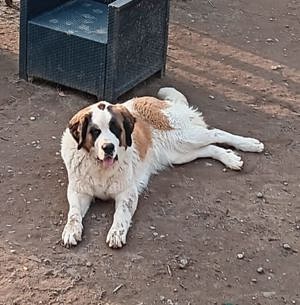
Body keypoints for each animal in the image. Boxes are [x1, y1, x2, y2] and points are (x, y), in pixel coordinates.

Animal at [61, 87, 264, 247]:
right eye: (95, 132)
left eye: (115, 129)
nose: (108, 147)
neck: (100, 167)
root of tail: (149, 99)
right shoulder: (78, 191)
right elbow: (74, 212)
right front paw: (71, 230)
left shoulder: (127, 193)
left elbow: (121, 213)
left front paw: (116, 232)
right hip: (179, 153)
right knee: (209, 148)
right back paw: (230, 158)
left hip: (186, 136)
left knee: (215, 133)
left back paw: (250, 144)